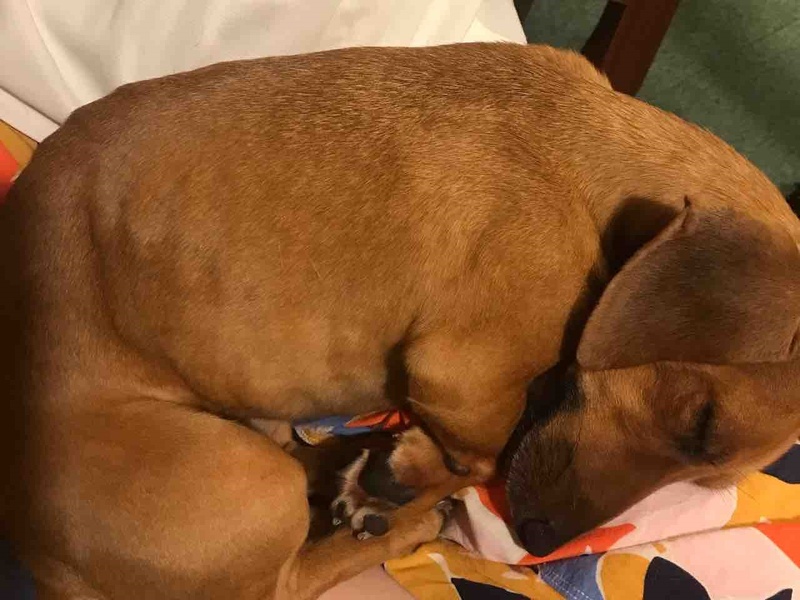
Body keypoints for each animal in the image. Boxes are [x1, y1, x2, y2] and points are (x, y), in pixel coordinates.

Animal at [1, 43, 798, 599]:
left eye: (706, 470)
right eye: (698, 422)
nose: (539, 540)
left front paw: (390, 470)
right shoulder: (464, 378)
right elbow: (491, 452)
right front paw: (410, 472)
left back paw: (349, 467)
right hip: (251, 486)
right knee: (286, 578)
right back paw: (396, 514)